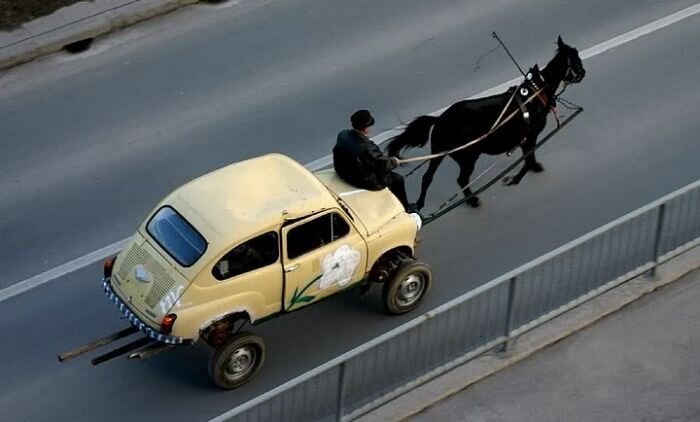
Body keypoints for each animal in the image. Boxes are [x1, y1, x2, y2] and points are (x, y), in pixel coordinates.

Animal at [388, 35, 584, 210]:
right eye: (575, 59)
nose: (583, 72)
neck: (536, 93)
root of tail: (441, 119)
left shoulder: (526, 139)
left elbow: (530, 158)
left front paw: (534, 167)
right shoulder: (530, 136)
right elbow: (528, 159)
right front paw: (514, 178)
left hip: (439, 152)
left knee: (428, 178)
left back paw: (420, 204)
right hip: (468, 157)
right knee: (461, 180)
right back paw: (472, 200)